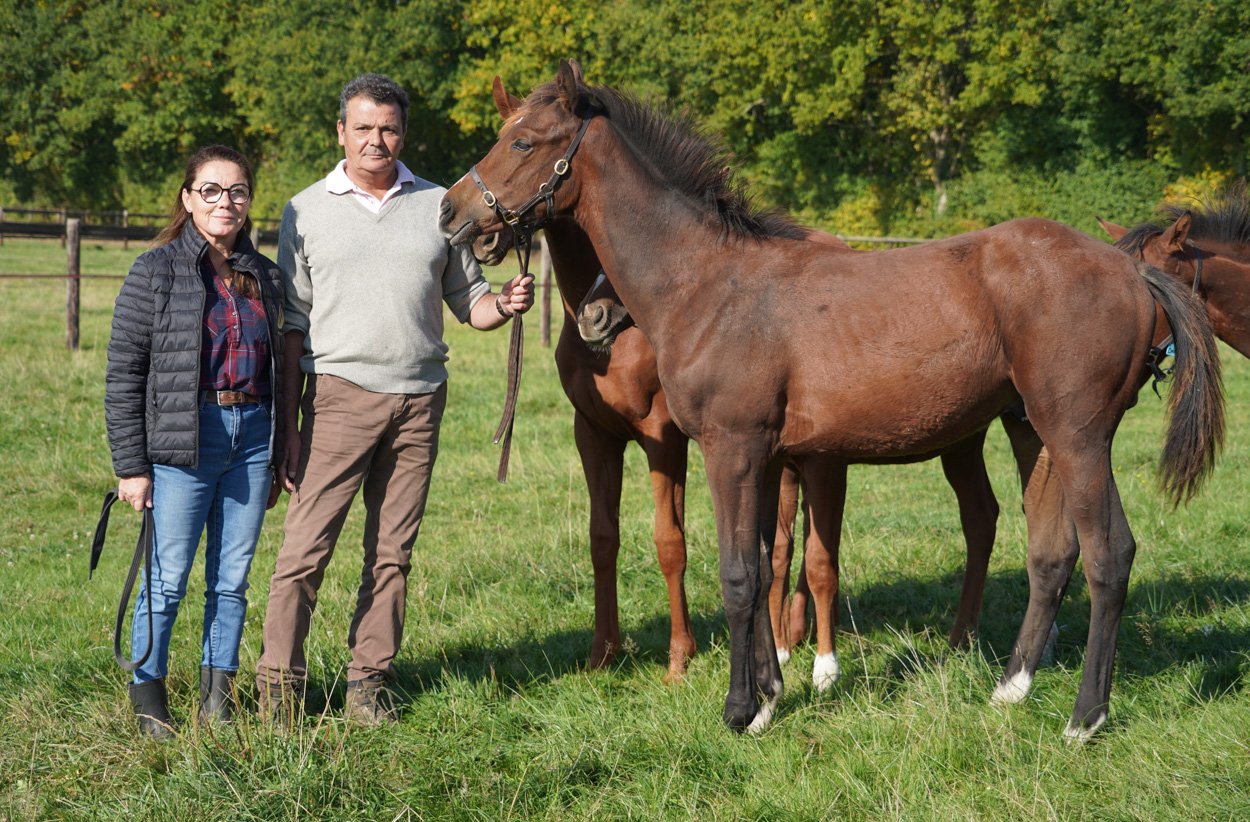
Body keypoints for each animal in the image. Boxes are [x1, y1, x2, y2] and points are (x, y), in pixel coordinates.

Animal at [440, 61, 1223, 739]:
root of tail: (1130, 271)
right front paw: (770, 694)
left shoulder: (730, 447)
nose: (451, 213)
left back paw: (1084, 719)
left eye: (524, 141)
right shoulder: (764, 456)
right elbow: (765, 564)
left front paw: (739, 710)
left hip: (1081, 435)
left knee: (1109, 555)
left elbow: (738, 573)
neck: (707, 282)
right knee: (1050, 552)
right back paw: (1010, 688)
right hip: (1036, 433)